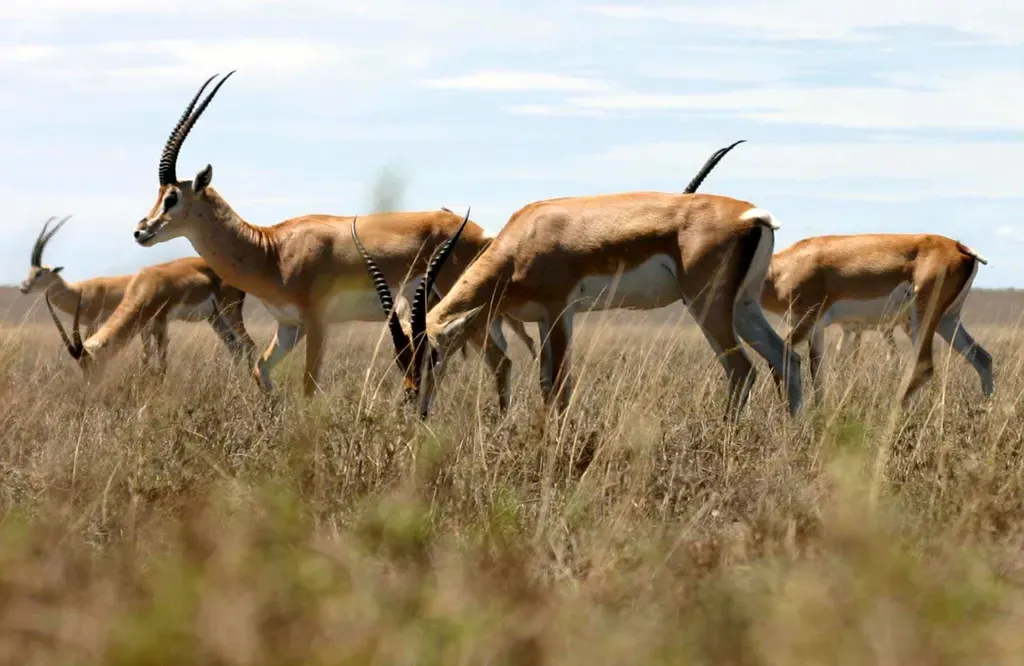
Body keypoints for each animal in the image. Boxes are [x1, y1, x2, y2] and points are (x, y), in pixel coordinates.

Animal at [46, 255, 255, 377]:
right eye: (81, 366)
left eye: (92, 363)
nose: (90, 385)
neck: (145, 283)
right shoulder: (146, 327)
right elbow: (145, 359)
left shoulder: (162, 322)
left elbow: (162, 361)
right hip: (215, 317)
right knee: (235, 347)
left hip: (229, 310)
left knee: (249, 344)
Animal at [131, 71, 534, 407]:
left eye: (172, 197)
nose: (141, 231)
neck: (272, 251)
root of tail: (484, 234)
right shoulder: (288, 327)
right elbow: (261, 371)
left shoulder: (317, 324)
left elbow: (309, 386)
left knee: (501, 361)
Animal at [355, 145, 805, 421]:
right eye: (401, 361)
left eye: (431, 354)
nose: (416, 403)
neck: (524, 240)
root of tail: (752, 216)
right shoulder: (542, 318)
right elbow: (545, 382)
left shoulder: (559, 311)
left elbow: (559, 384)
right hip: (742, 305)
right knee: (787, 360)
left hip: (706, 306)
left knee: (741, 369)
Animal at [761, 234, 994, 406]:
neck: (785, 269)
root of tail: (960, 247)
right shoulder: (816, 328)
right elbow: (817, 370)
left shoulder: (806, 322)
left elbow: (780, 358)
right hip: (947, 320)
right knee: (983, 358)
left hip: (920, 319)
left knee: (923, 366)